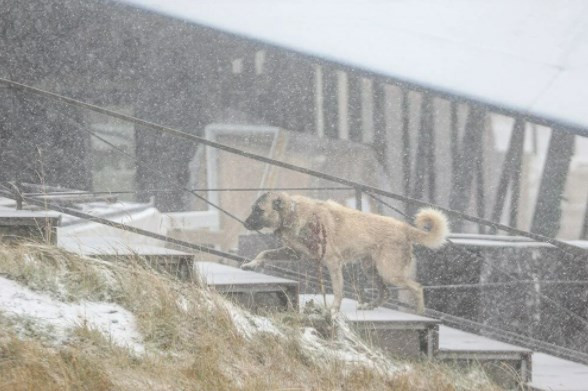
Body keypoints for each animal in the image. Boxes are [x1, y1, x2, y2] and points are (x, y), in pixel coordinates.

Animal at [241, 193, 448, 316]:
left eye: (259, 210)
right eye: (252, 208)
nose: (244, 223)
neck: (295, 214)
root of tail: (404, 227)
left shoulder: (333, 262)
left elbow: (337, 289)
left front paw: (333, 309)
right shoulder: (294, 253)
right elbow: (264, 253)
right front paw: (252, 264)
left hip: (389, 272)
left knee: (417, 288)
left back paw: (419, 313)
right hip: (371, 270)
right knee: (386, 292)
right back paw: (369, 306)